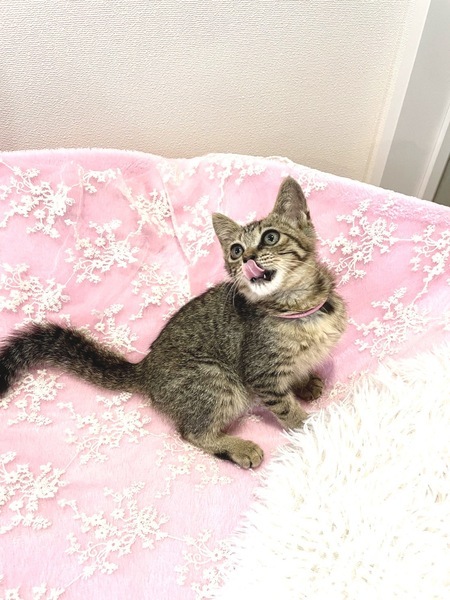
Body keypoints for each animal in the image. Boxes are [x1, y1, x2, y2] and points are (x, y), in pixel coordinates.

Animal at [0, 177, 346, 468]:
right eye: (235, 250)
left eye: (271, 237)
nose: (246, 258)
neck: (300, 309)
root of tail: (145, 368)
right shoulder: (260, 373)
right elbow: (285, 407)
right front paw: (309, 424)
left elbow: (298, 371)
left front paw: (305, 383)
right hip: (215, 377)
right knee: (192, 432)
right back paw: (237, 447)